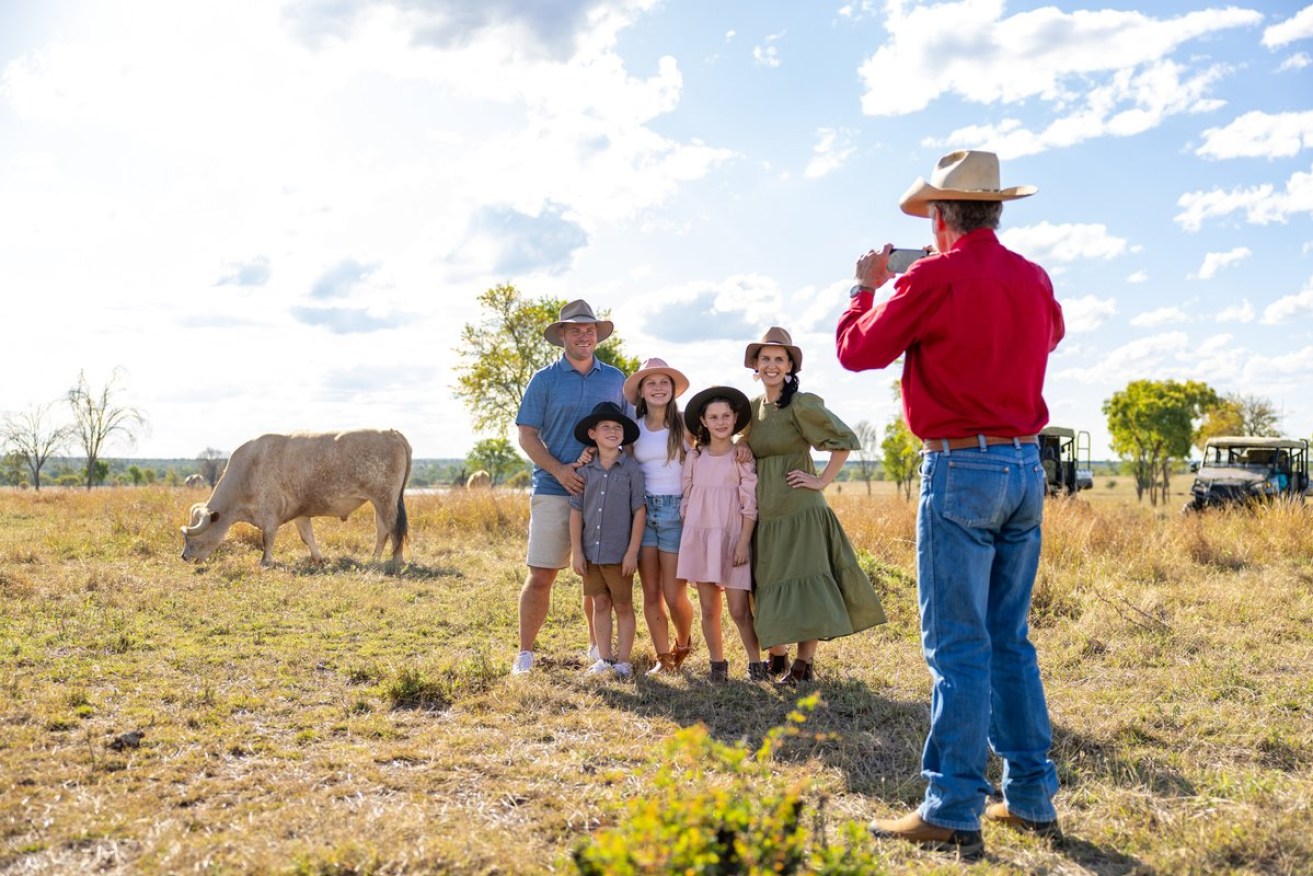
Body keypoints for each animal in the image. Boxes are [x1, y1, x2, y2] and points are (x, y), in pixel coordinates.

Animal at [177, 430, 407, 569]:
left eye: (192, 538)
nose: (184, 557)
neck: (248, 470)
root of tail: (391, 432)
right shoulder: (301, 514)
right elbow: (308, 537)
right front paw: (318, 559)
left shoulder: (270, 516)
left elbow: (267, 539)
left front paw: (266, 561)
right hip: (379, 503)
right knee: (382, 531)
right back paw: (374, 559)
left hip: (386, 500)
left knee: (394, 530)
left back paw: (396, 561)